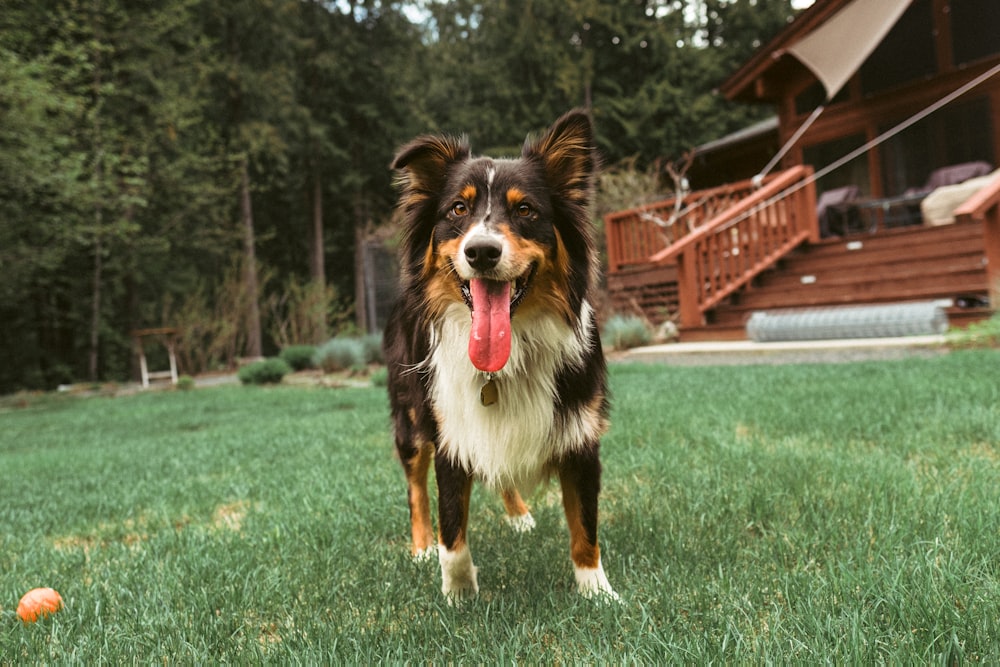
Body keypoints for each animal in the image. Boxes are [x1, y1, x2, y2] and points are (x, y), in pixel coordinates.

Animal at [384, 108, 612, 600]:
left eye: (525, 210)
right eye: (458, 209)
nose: (482, 251)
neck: (508, 355)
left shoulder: (580, 433)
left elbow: (585, 525)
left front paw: (598, 592)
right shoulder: (450, 429)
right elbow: (452, 526)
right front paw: (457, 593)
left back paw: (519, 515)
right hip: (410, 415)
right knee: (415, 485)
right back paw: (420, 546)